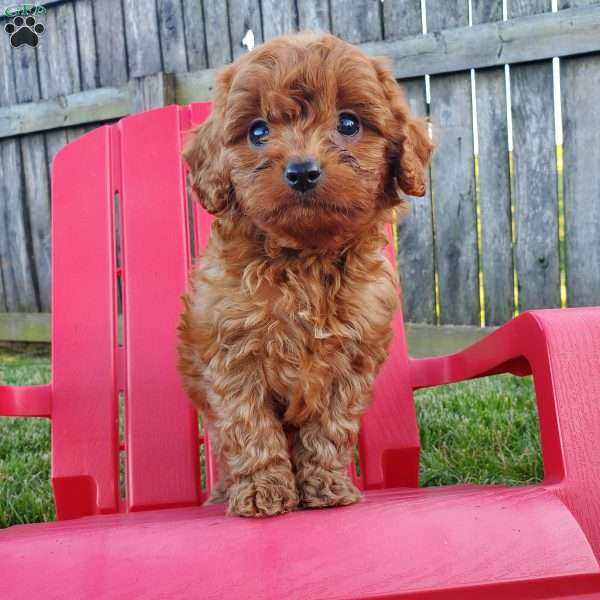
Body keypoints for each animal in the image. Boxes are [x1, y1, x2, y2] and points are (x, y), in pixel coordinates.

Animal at [176, 31, 434, 516]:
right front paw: (262, 492)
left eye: (349, 123)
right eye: (258, 130)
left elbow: (329, 431)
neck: (303, 260)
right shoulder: (234, 356)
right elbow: (251, 430)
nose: (301, 171)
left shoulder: (349, 363)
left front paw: (326, 488)